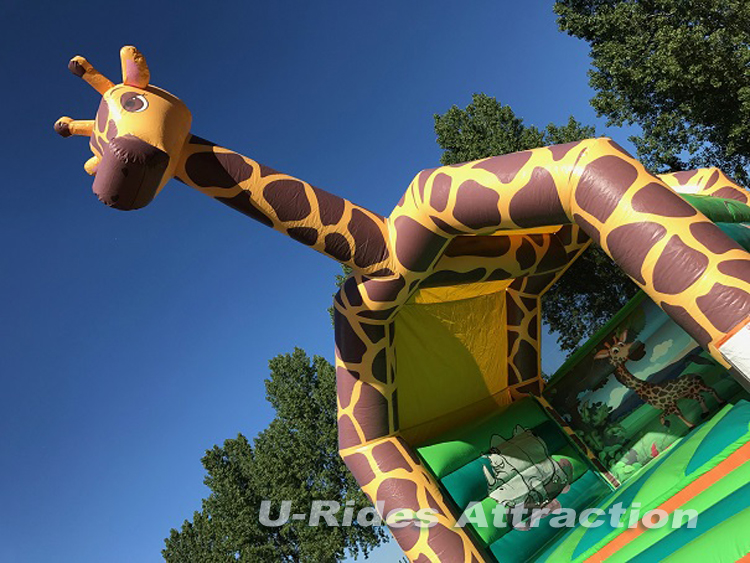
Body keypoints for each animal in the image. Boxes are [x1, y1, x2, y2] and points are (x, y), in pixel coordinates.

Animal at [594, 329, 725, 428]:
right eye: (615, 350)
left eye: (622, 343)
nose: (636, 346)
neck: (642, 387)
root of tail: (695, 375)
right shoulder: (669, 405)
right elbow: (672, 415)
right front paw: (685, 425)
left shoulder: (669, 405)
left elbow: (667, 416)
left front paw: (676, 424)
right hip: (689, 393)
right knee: (700, 397)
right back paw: (705, 412)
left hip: (698, 387)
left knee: (711, 390)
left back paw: (721, 403)